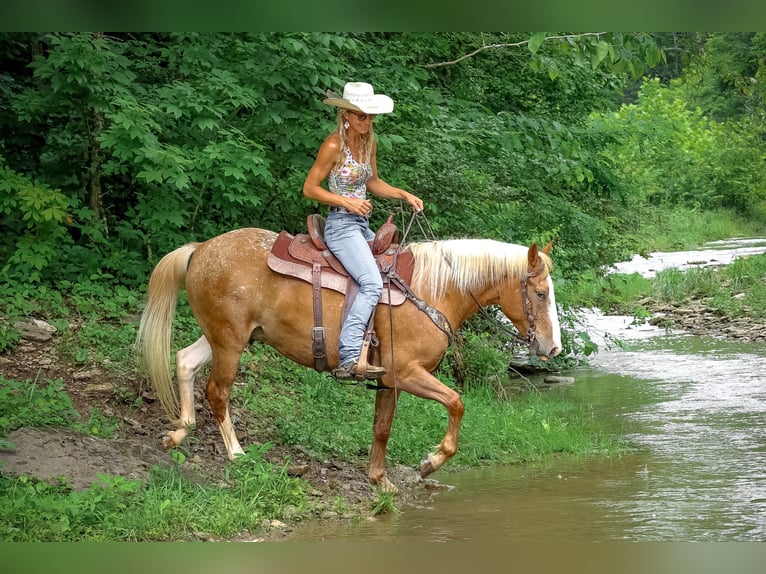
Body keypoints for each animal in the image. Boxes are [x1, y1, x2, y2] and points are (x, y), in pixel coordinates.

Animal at [135, 226, 562, 492]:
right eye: (540, 293)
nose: (553, 347)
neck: (433, 290)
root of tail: (201, 248)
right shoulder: (408, 373)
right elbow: (456, 403)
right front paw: (430, 462)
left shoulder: (389, 380)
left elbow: (382, 429)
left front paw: (380, 481)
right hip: (230, 342)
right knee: (218, 392)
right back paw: (237, 454)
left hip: (224, 336)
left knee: (185, 361)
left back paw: (179, 431)